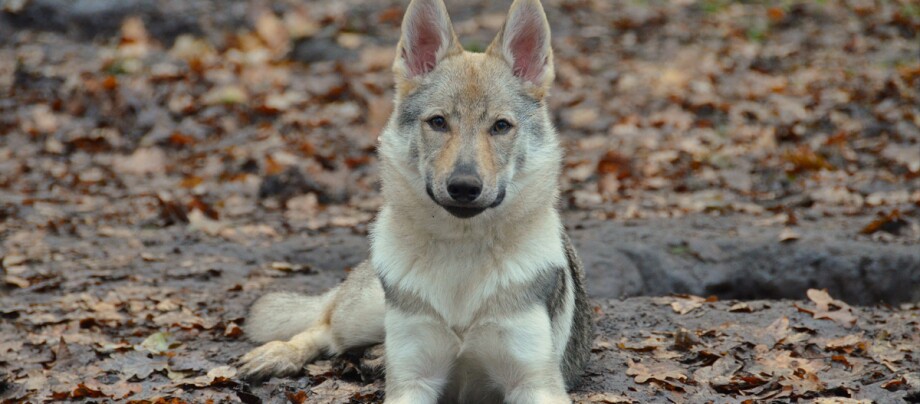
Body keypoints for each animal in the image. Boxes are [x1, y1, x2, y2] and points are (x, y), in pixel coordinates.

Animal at [237, 0, 593, 402]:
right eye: (438, 122)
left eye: (500, 126)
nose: (464, 186)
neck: (461, 254)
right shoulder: (413, 380)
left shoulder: (534, 383)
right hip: (365, 312)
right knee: (325, 325)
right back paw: (279, 354)